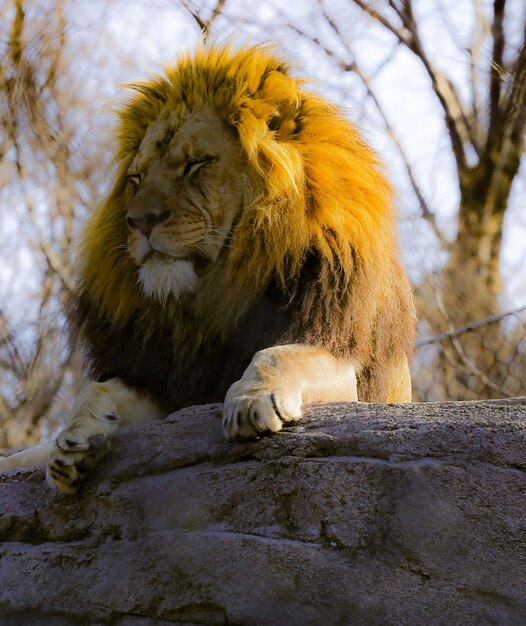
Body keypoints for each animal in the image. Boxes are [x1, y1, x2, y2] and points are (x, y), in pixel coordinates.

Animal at [1, 44, 420, 492]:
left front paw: (251, 401)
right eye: (136, 177)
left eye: (196, 164)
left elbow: (277, 354)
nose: (139, 221)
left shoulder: (343, 360)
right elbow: (98, 391)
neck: (217, 290)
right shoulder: (168, 381)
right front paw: (77, 439)